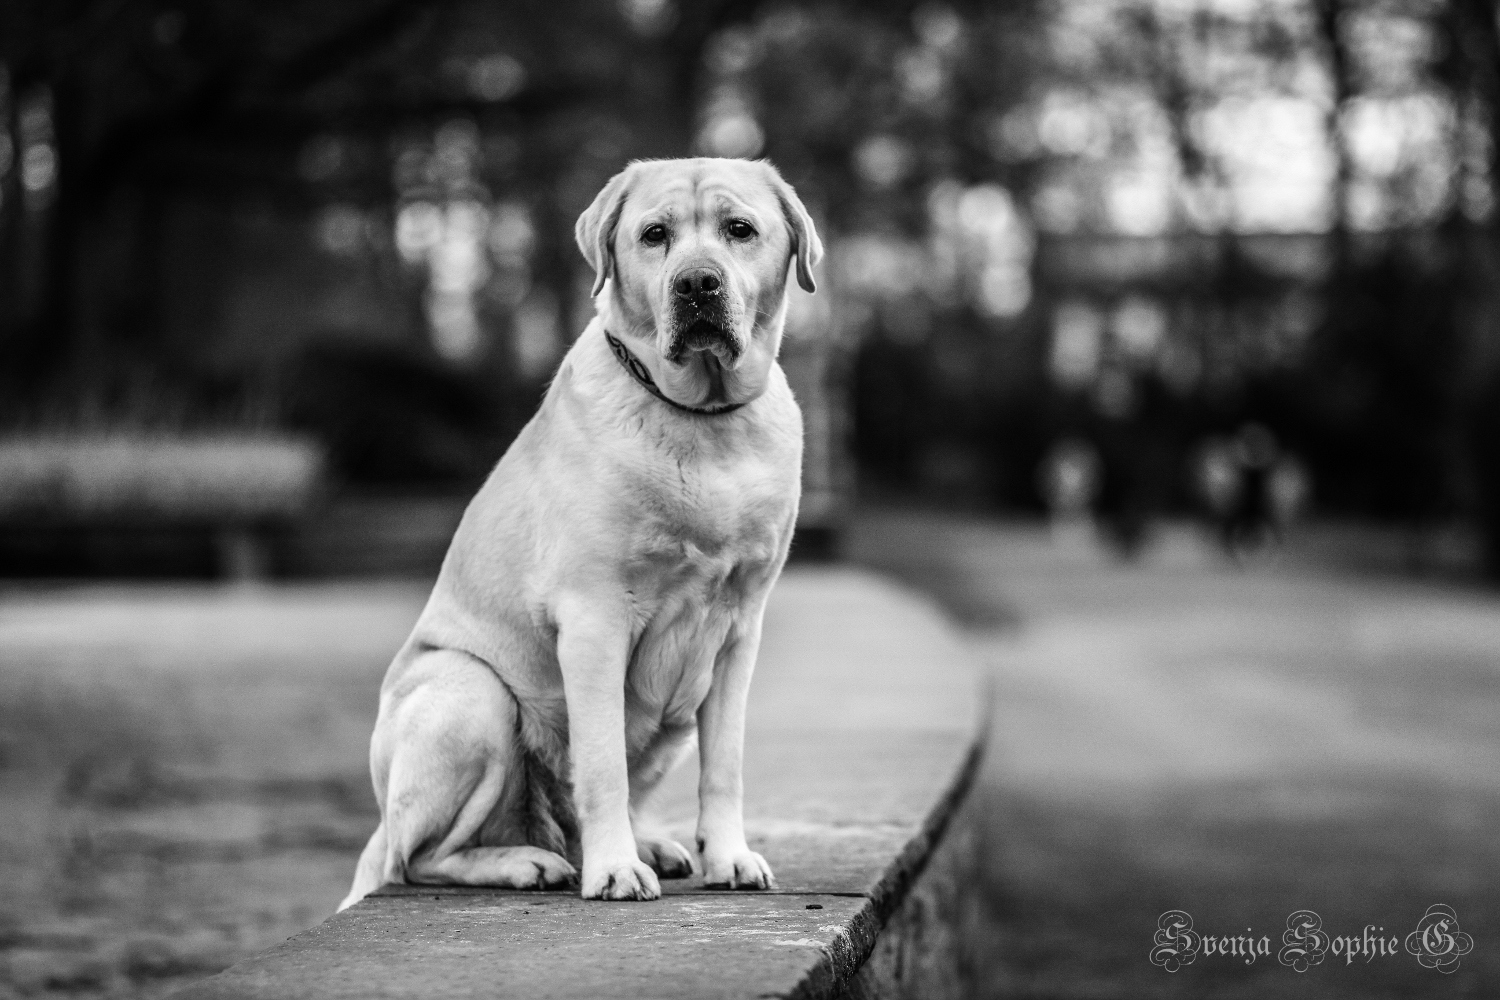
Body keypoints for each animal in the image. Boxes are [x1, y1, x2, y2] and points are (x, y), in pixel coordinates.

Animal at [342, 154, 828, 905]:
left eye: (739, 230)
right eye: (654, 235)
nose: (696, 282)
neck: (703, 422)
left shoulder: (738, 630)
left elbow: (725, 764)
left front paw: (728, 857)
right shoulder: (596, 620)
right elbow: (600, 767)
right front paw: (615, 870)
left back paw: (645, 845)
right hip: (472, 693)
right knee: (418, 857)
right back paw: (528, 862)